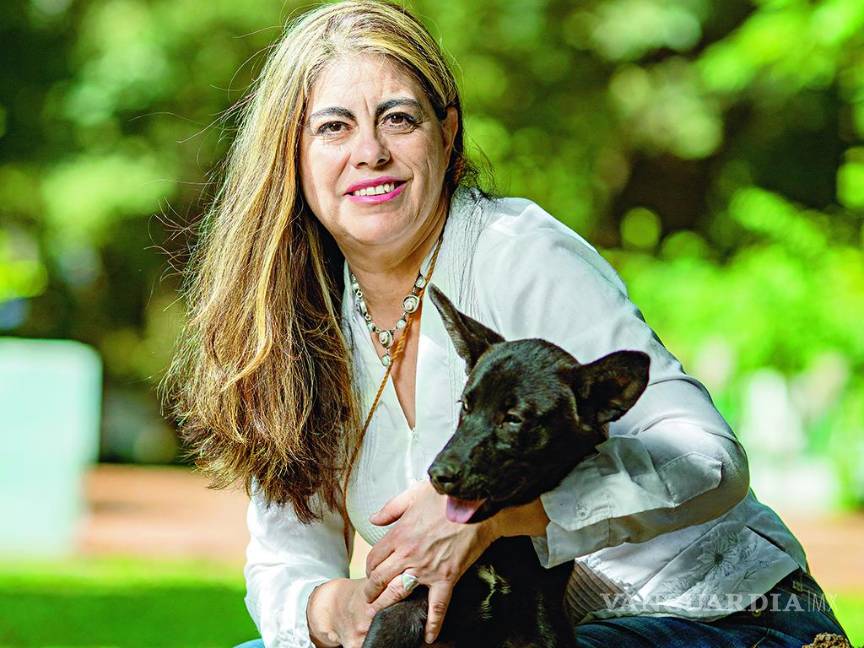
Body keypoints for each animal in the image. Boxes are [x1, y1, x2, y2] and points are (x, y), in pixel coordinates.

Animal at [362, 285, 650, 648]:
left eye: (513, 419)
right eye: (465, 405)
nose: (437, 475)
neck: (499, 550)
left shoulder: (543, 621)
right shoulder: (401, 608)